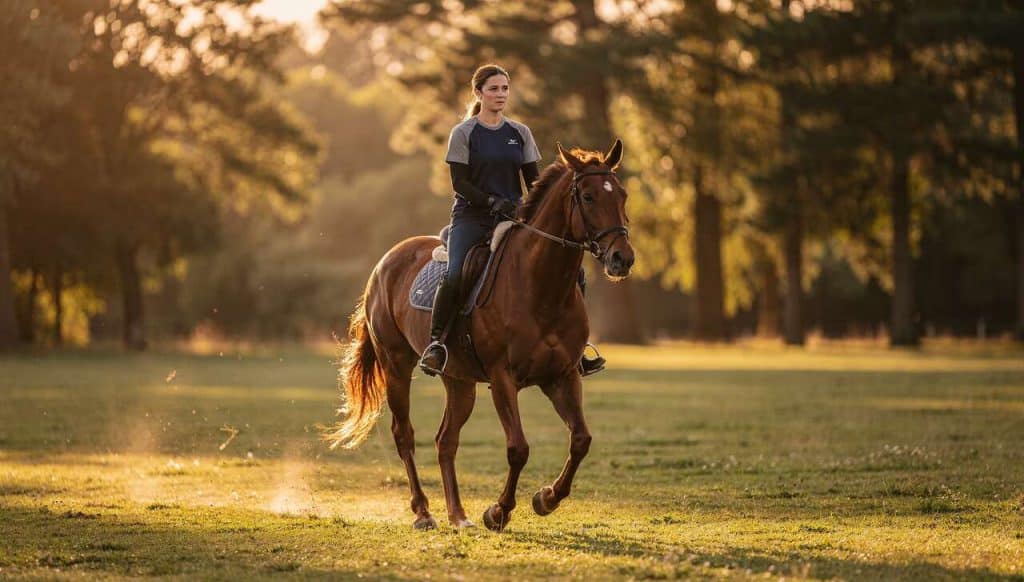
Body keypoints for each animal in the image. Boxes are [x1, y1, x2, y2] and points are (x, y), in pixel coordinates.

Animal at [324, 139, 635, 532]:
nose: (622, 259)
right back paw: (424, 513)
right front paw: (498, 511)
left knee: (446, 441)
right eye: (590, 196)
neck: (541, 285)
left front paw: (546, 499)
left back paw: (458, 515)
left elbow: (581, 439)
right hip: (396, 366)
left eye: (622, 194)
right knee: (404, 435)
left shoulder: (562, 376)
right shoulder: (503, 379)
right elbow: (518, 448)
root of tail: (384, 263)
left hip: (459, 381)